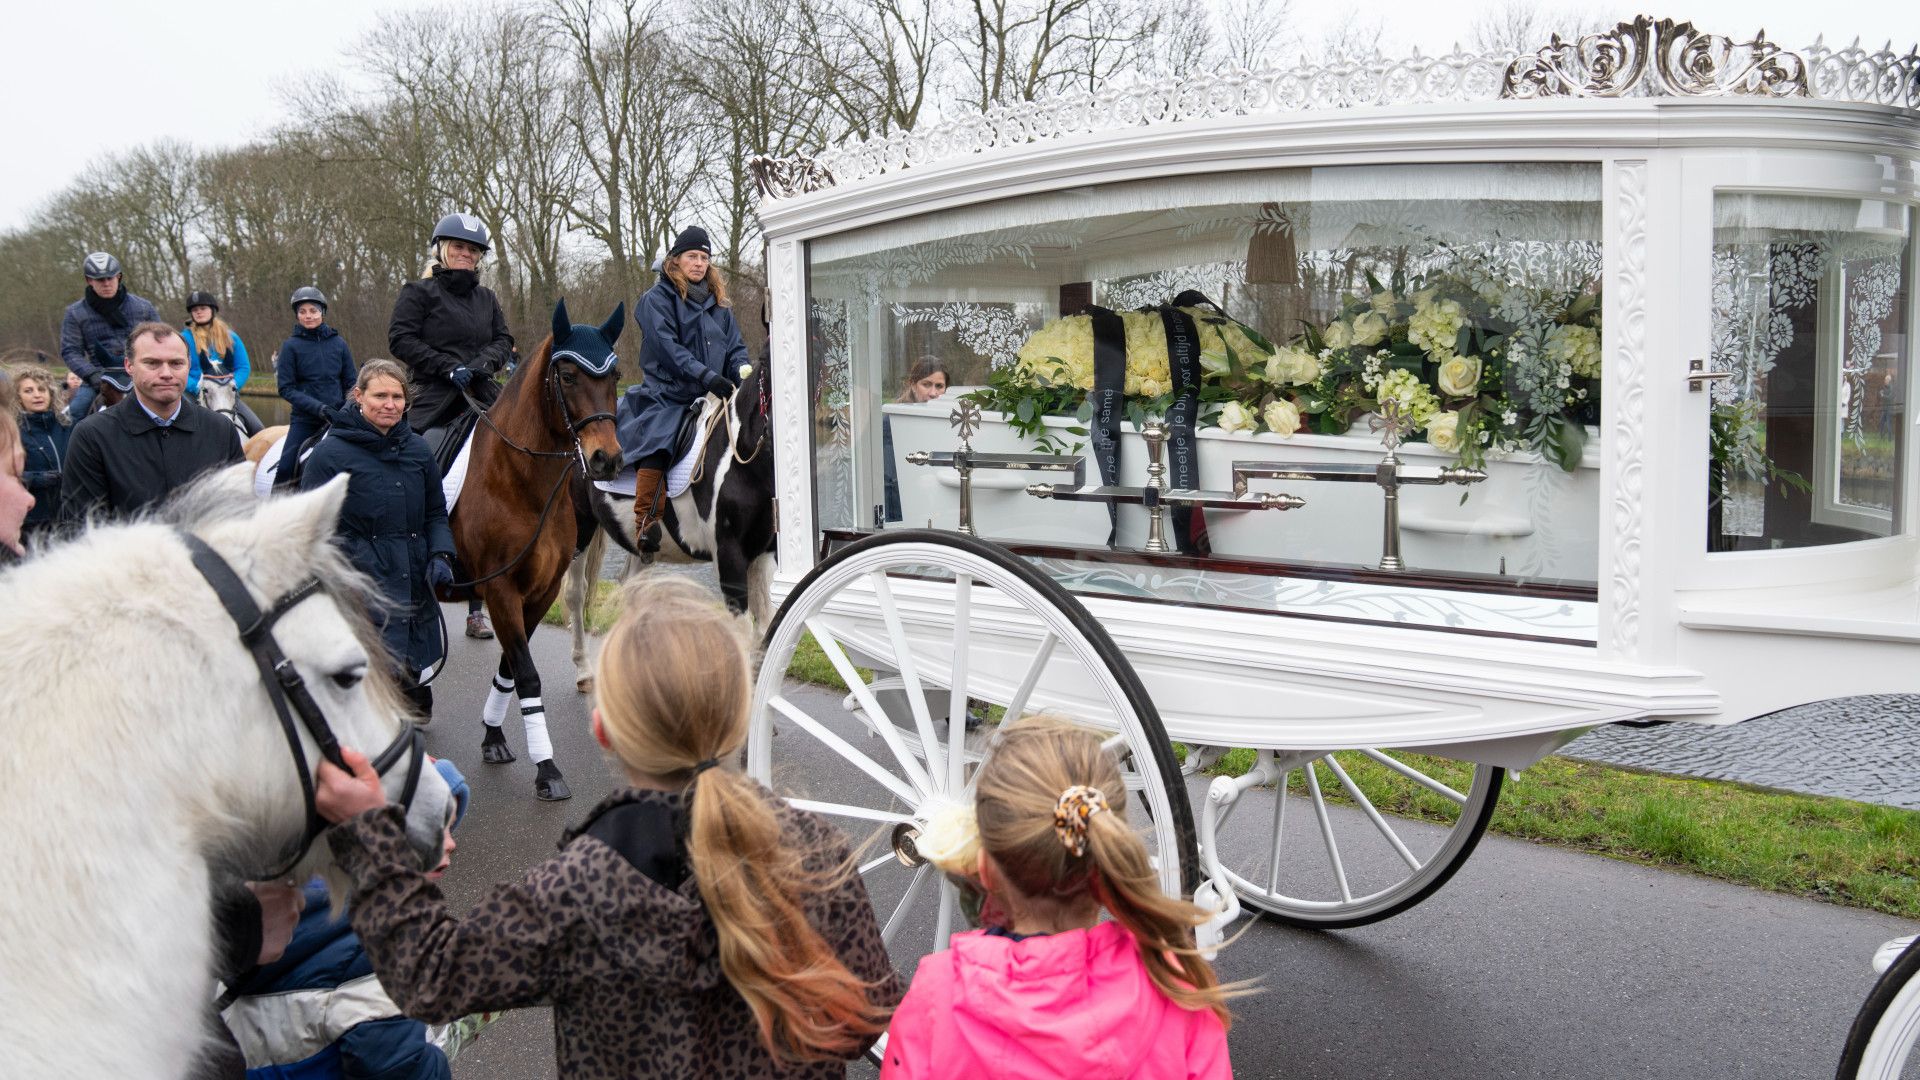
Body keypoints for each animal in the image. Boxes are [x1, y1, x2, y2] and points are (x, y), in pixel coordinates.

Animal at [441, 297, 622, 795]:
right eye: (568, 376)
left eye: (614, 376)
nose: (606, 458)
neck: (518, 481)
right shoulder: (501, 589)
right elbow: (526, 673)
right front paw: (546, 766)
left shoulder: (540, 591)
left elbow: (510, 668)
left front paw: (493, 736)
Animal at [564, 357, 775, 684]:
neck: (741, 457)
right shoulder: (730, 557)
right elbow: (744, 632)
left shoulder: (763, 555)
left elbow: (765, 630)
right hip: (581, 528)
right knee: (576, 593)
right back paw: (584, 669)